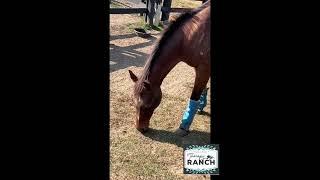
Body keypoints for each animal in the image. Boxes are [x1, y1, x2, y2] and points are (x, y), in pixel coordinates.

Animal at [129, 0, 211, 136]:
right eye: (134, 102)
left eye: (147, 106)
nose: (140, 129)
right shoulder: (200, 68)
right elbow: (203, 89)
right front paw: (201, 106)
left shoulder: (203, 69)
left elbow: (194, 96)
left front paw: (184, 126)